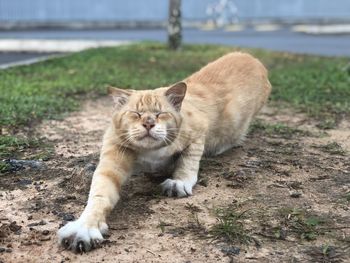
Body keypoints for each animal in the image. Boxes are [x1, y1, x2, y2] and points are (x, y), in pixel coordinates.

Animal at [58, 52, 270, 254]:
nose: (149, 123)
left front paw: (179, 182)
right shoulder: (114, 156)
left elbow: (188, 163)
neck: (150, 152)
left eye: (160, 114)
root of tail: (250, 57)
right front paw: (85, 227)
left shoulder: (198, 131)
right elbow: (99, 195)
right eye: (135, 114)